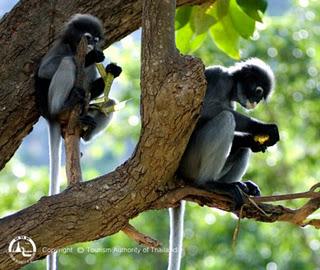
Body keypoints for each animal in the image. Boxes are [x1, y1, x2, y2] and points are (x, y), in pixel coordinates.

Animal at [33, 14, 121, 270]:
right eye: (88, 37)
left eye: (98, 38)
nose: (92, 46)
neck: (74, 47)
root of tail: (52, 119)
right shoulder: (60, 48)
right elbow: (45, 72)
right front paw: (93, 57)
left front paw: (112, 69)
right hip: (54, 103)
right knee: (67, 65)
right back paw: (66, 103)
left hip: (88, 110)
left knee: (108, 102)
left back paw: (86, 127)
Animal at [168, 58, 280, 270]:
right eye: (258, 91)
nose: (255, 103)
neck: (230, 88)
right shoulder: (217, 76)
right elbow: (206, 110)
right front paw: (263, 127)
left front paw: (253, 141)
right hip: (191, 162)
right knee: (225, 119)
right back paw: (209, 184)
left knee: (241, 147)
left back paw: (237, 187)